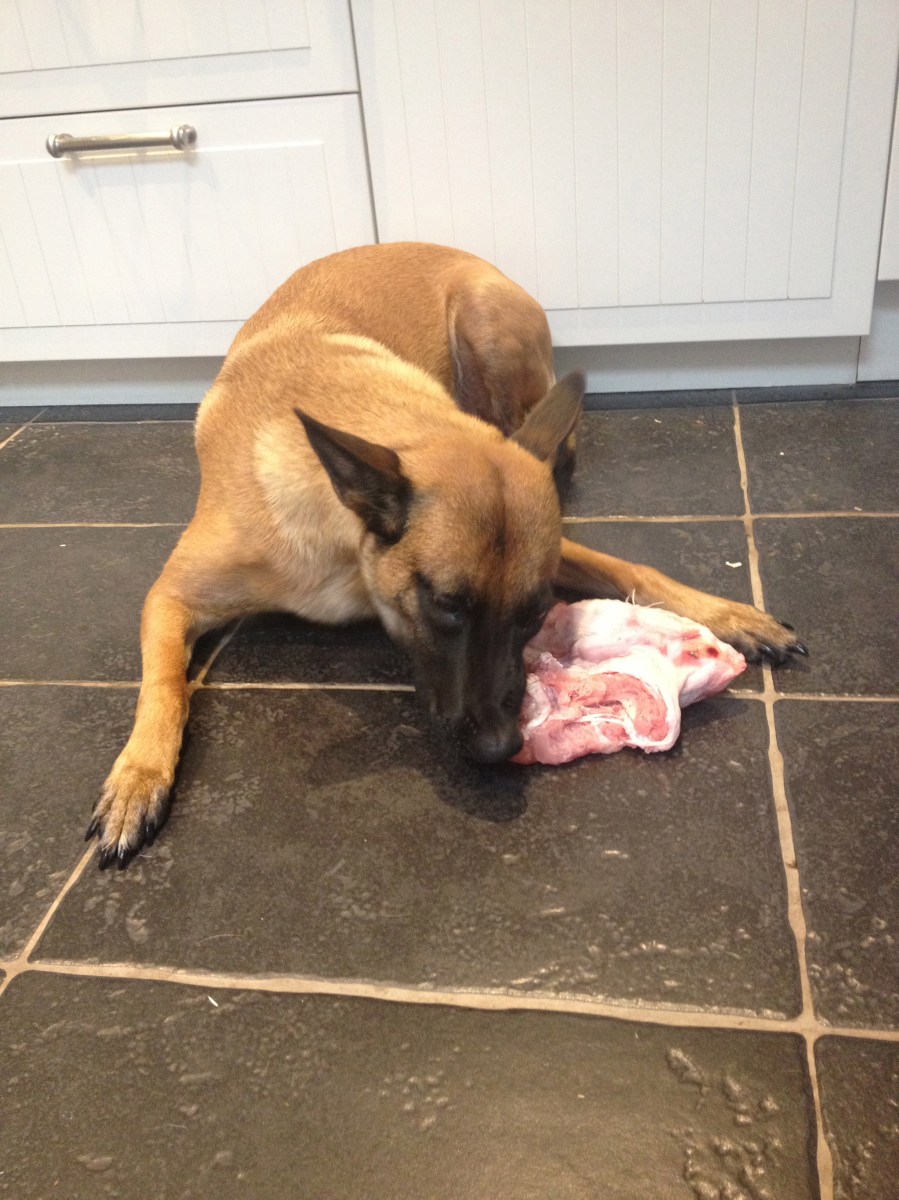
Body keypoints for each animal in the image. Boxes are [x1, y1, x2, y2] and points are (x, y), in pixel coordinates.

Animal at [87, 243, 805, 868]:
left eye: (534, 614)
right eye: (444, 605)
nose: (501, 745)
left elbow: (634, 568)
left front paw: (735, 615)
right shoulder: (170, 596)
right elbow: (163, 685)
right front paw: (138, 777)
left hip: (485, 326)